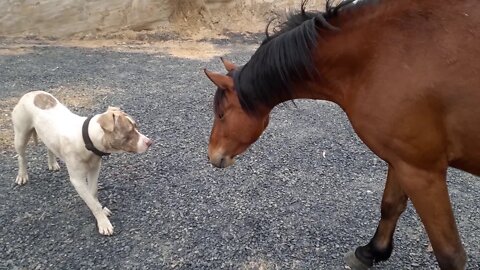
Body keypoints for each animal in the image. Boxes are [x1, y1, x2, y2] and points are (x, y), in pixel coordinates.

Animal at [12, 90, 152, 234]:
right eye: (129, 131)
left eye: (136, 127)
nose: (149, 142)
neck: (87, 139)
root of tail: (31, 93)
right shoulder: (77, 180)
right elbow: (91, 201)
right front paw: (103, 222)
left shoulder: (94, 169)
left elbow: (93, 193)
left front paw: (100, 209)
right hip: (21, 135)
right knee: (21, 156)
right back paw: (22, 175)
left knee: (49, 147)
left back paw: (52, 163)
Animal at [203, 0, 480, 268]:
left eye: (221, 114)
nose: (212, 156)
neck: (378, 55)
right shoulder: (403, 160)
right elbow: (391, 206)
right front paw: (371, 252)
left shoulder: (422, 172)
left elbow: (450, 254)